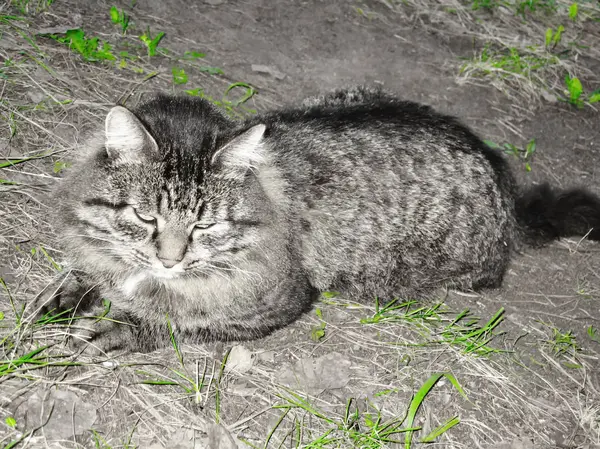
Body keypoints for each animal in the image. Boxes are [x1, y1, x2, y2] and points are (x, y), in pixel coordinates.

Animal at [35, 86, 600, 352]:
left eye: (205, 226)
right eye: (145, 217)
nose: (170, 261)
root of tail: (503, 183)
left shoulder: (280, 300)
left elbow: (177, 322)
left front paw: (119, 329)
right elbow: (90, 271)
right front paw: (69, 294)